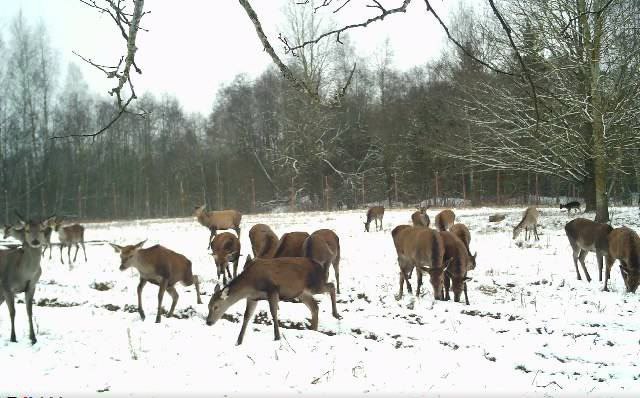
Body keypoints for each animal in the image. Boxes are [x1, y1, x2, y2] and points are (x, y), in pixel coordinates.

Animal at [0, 216, 53, 344]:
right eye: (27, 230)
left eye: (41, 230)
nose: (35, 241)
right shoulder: (6, 286)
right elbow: (12, 312)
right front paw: (13, 337)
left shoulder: (32, 286)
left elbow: (29, 311)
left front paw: (33, 337)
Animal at [208, 255, 342, 346]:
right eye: (208, 306)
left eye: (216, 306)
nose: (208, 322)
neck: (250, 284)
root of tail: (320, 266)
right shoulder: (252, 297)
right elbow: (247, 316)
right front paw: (238, 341)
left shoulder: (272, 289)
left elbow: (273, 313)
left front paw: (277, 337)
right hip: (302, 293)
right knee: (314, 306)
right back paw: (313, 329)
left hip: (315, 284)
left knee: (331, 286)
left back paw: (336, 313)